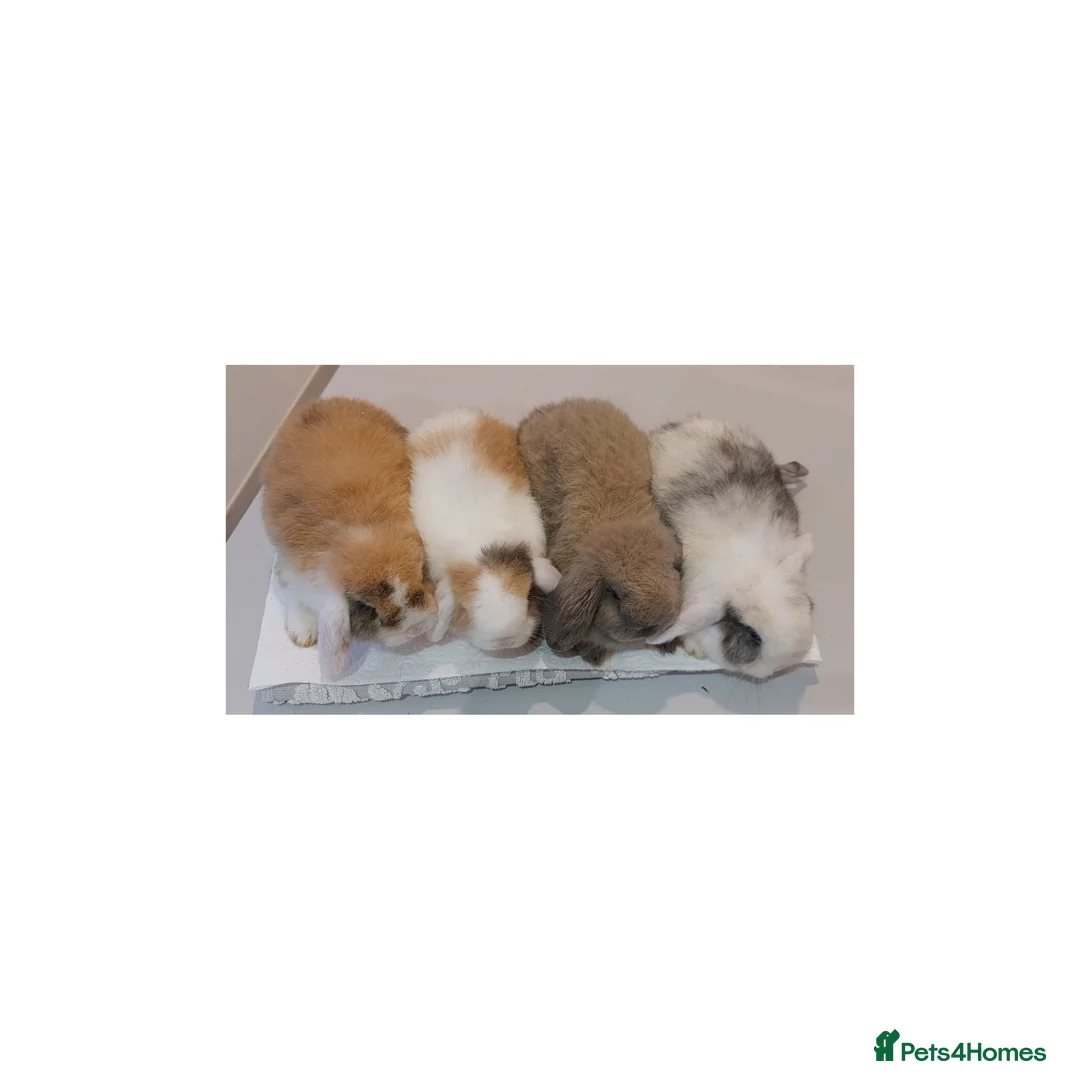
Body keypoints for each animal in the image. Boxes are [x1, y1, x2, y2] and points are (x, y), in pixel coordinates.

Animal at [261, 396, 438, 678]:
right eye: (368, 608)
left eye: (422, 574)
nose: (416, 628)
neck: (363, 530)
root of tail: (322, 403)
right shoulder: (298, 570)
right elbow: (295, 596)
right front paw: (303, 635)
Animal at [517, 398, 683, 667]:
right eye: (614, 594)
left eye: (671, 570)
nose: (648, 626)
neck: (619, 519)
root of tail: (555, 406)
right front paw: (592, 655)